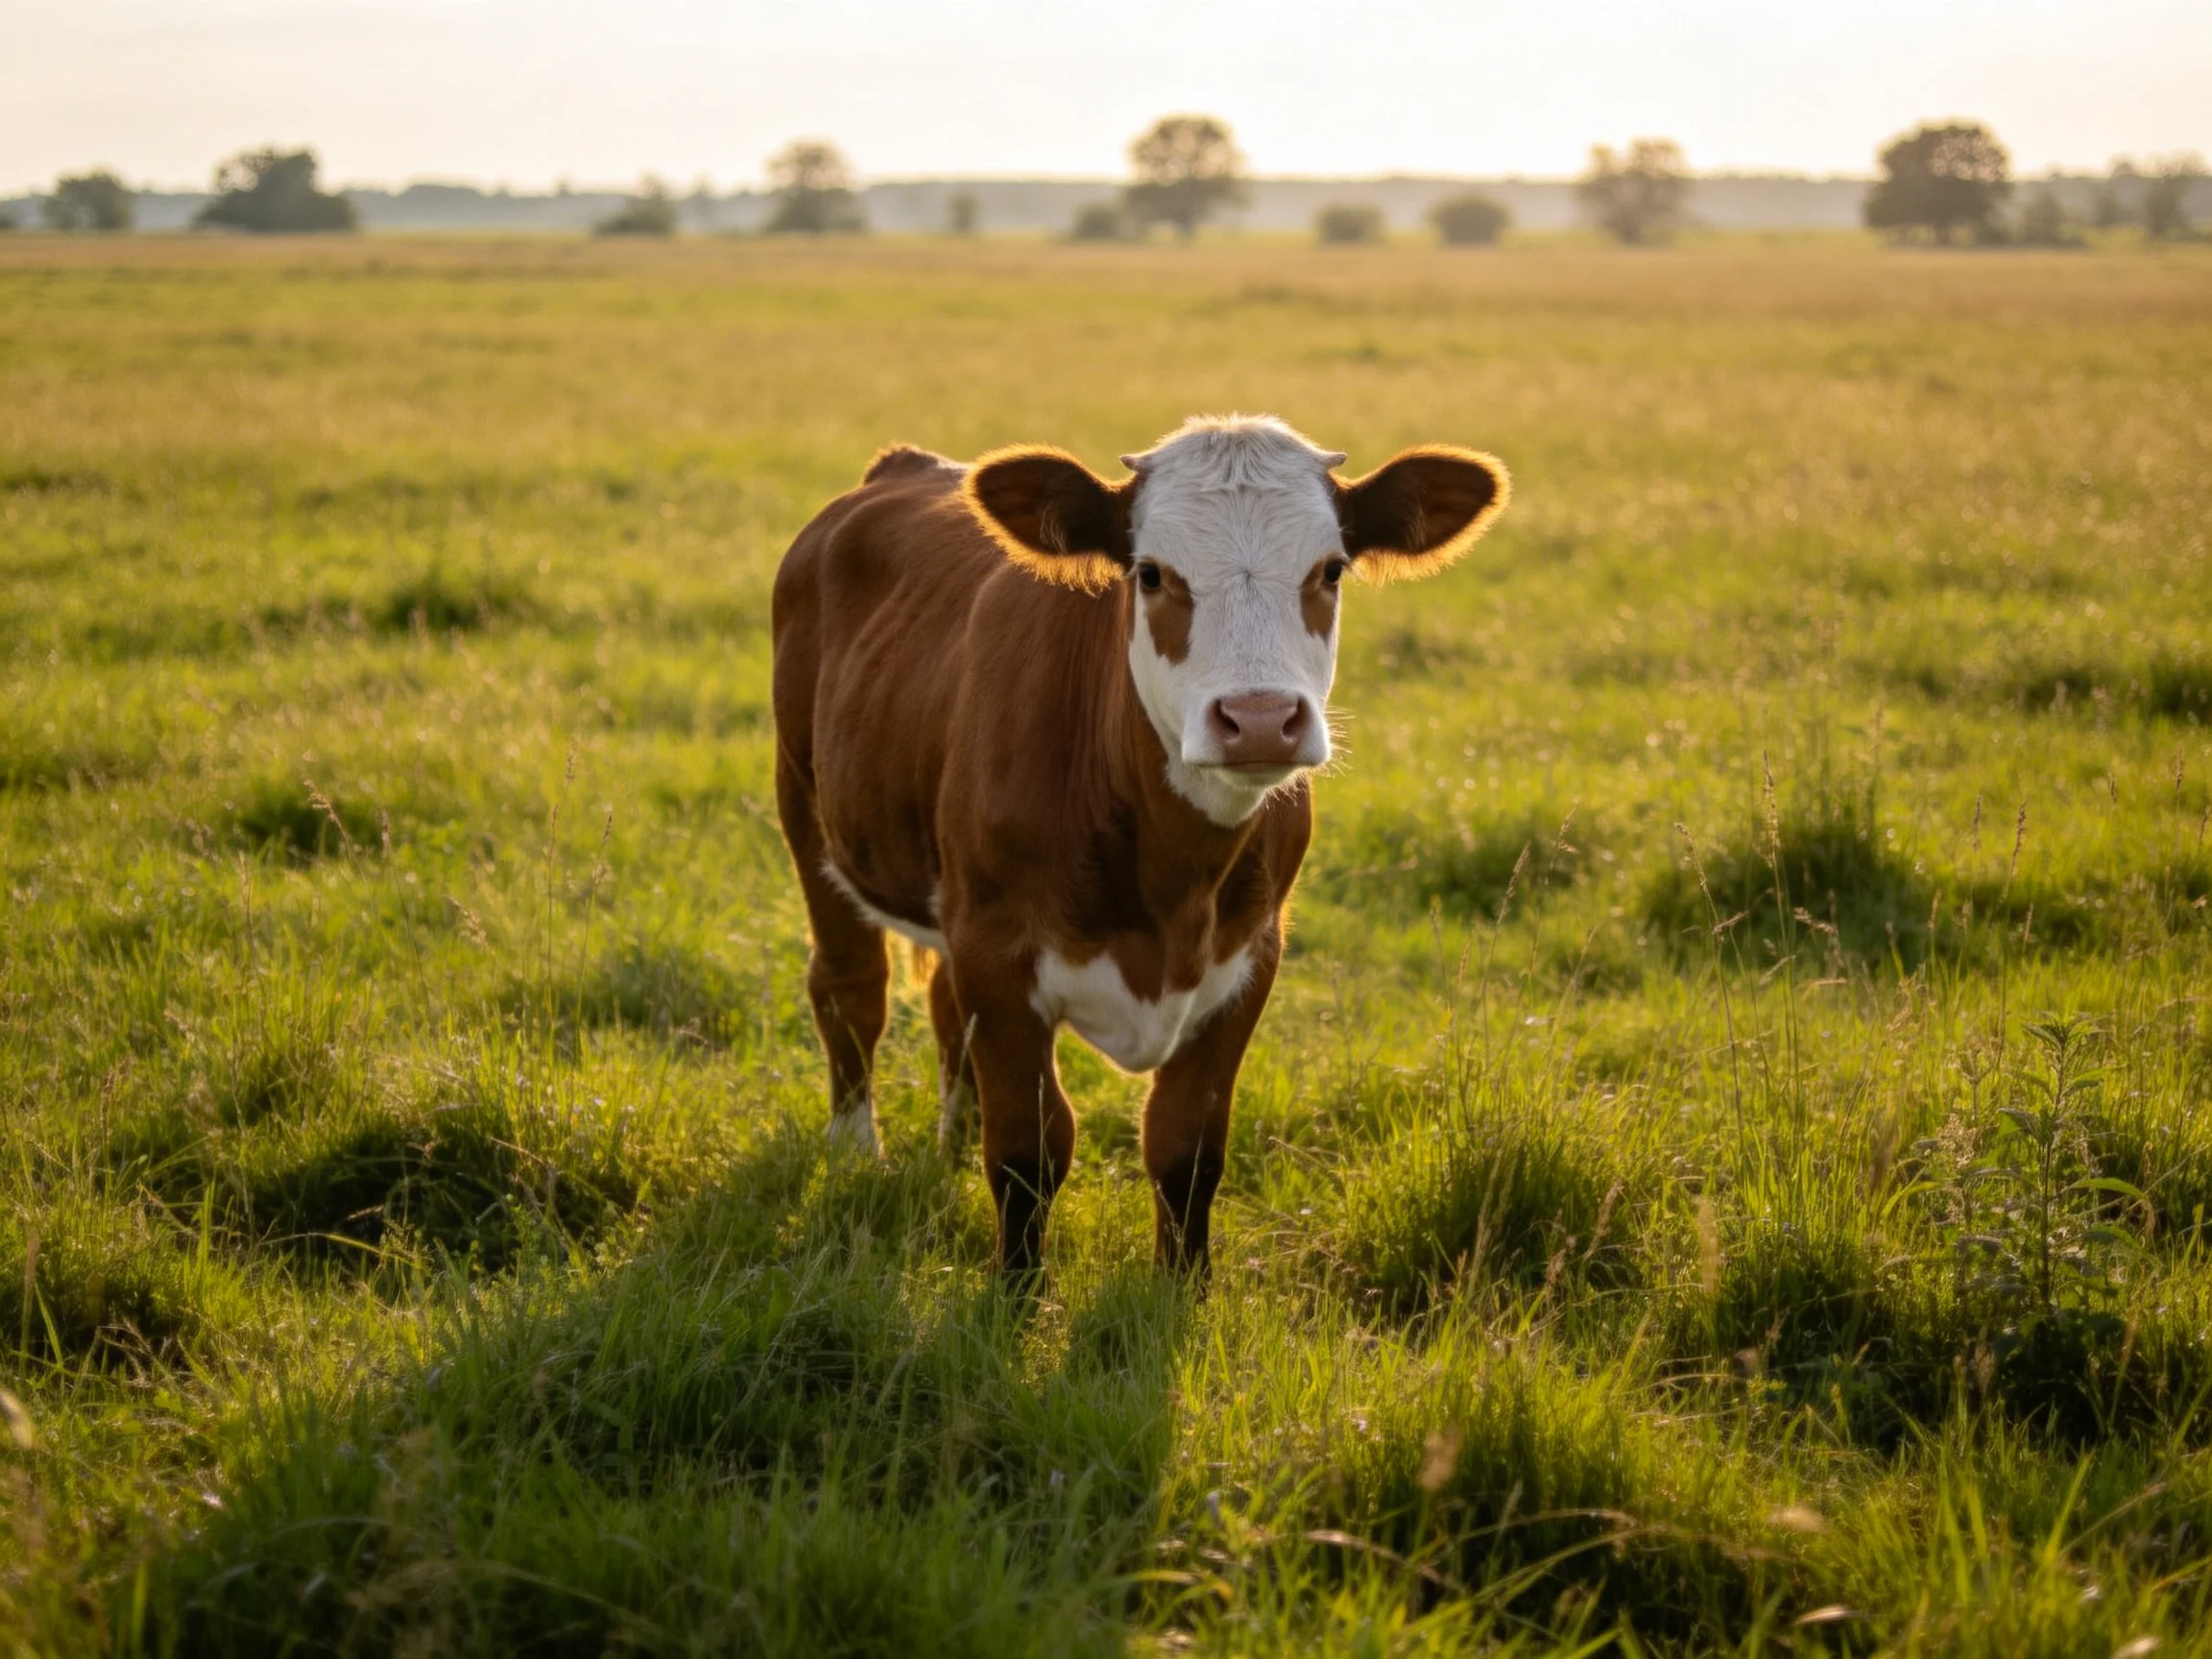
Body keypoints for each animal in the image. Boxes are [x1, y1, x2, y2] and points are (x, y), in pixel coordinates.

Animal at [770, 415, 1509, 1277]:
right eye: (1151, 574)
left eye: (1330, 570)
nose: (1260, 720)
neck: (1172, 883)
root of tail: (907, 467)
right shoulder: (998, 949)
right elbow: (1027, 1153)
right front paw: (1014, 1290)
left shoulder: (1249, 958)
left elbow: (1187, 1148)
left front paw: (1181, 1288)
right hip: (809, 814)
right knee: (852, 989)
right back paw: (856, 1152)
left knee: (946, 1007)